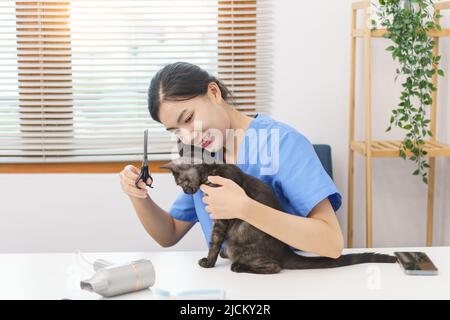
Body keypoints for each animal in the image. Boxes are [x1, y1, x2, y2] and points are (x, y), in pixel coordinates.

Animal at [159, 158, 398, 276]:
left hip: (245, 244)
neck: (211, 171)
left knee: (274, 267)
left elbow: (215, 241)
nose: (186, 192)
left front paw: (209, 262)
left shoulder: (222, 215)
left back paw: (239, 267)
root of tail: (285, 251)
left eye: (182, 183)